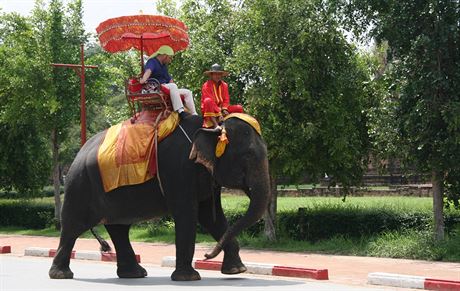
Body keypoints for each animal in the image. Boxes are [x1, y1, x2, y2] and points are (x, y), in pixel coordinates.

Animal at [47, 114, 270, 282]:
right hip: (80, 186)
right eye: (248, 155)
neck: (211, 126)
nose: (206, 256)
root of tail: (78, 153)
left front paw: (236, 271)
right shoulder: (179, 170)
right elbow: (188, 214)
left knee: (118, 228)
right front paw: (188, 278)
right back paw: (61, 275)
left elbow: (211, 217)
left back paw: (134, 274)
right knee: (73, 226)